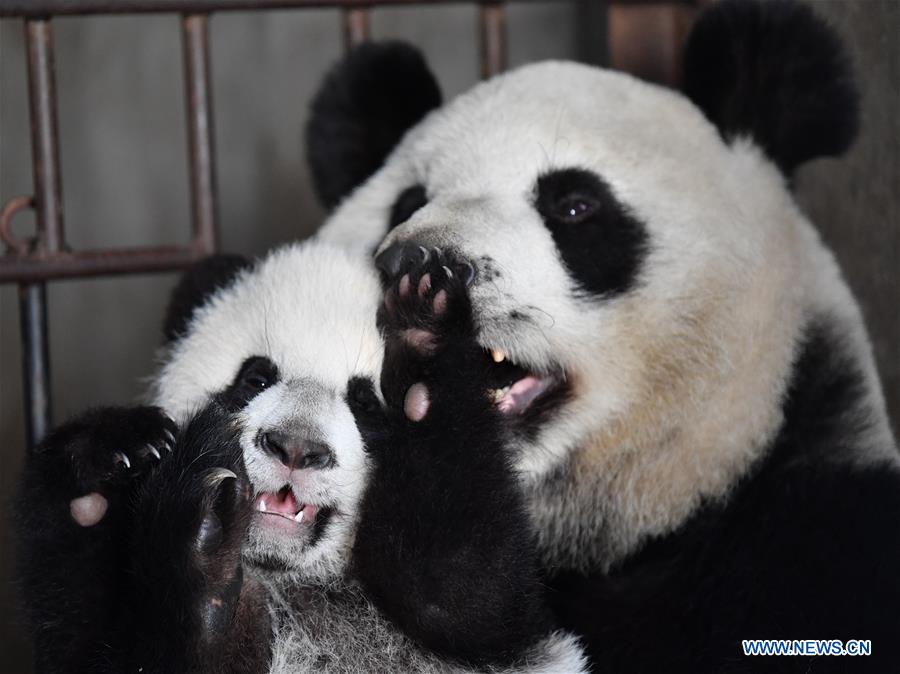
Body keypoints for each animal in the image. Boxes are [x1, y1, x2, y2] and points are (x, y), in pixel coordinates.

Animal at [19, 242, 592, 672]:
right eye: (255, 378)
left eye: (366, 403)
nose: (295, 447)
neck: (298, 580)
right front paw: (113, 458)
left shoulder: (505, 633)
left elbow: (458, 585)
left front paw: (425, 330)